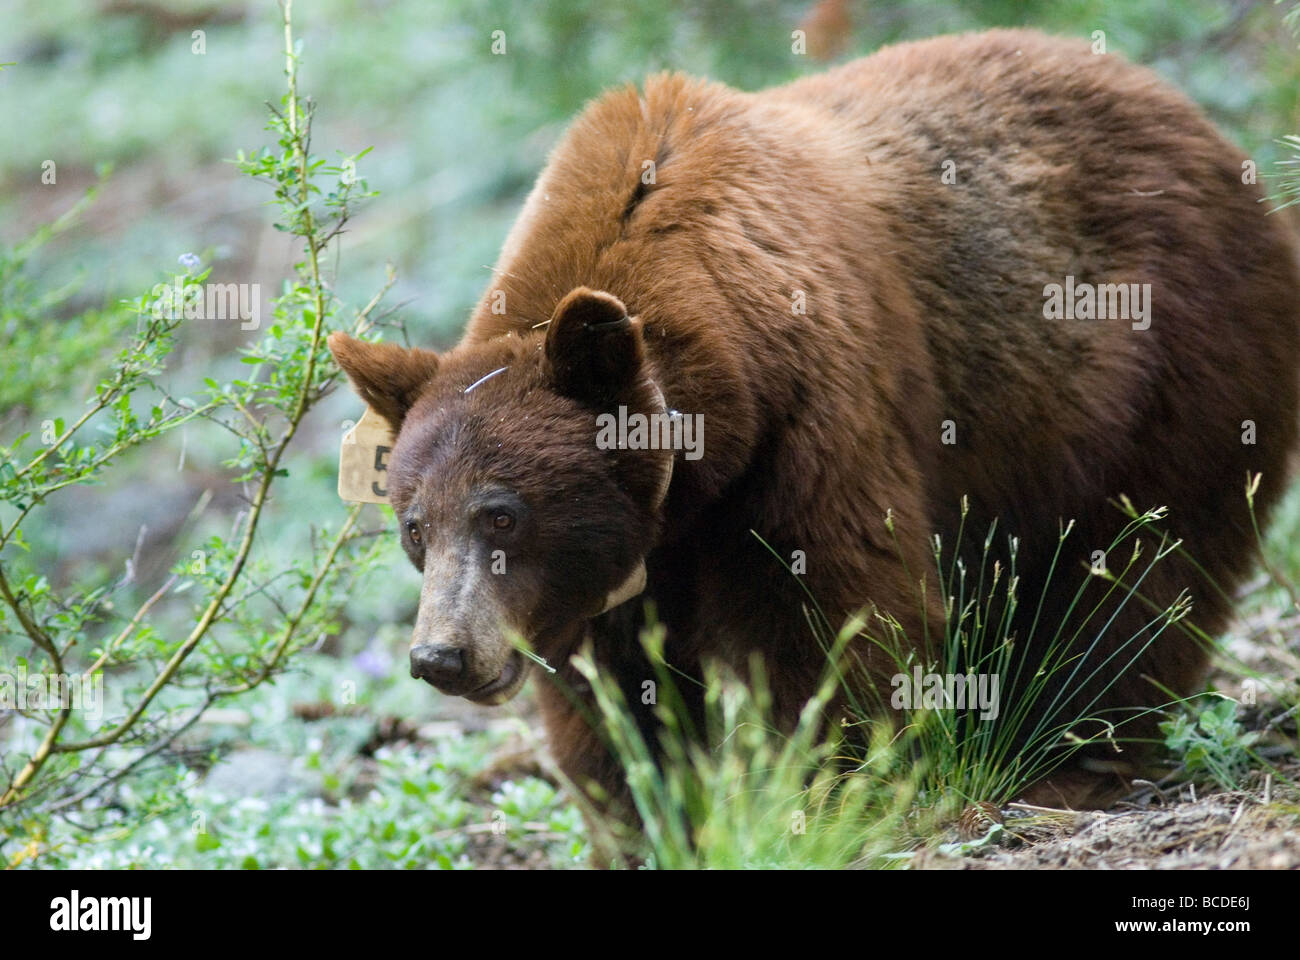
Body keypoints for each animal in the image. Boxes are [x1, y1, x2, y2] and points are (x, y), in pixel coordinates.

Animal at [327, 26, 1300, 837]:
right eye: (413, 527)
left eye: (502, 513)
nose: (441, 657)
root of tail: (1208, 132)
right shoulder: (617, 562)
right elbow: (612, 694)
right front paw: (652, 820)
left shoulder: (810, 422)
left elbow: (837, 619)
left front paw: (821, 801)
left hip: (1174, 372)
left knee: (1139, 573)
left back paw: (1075, 754)